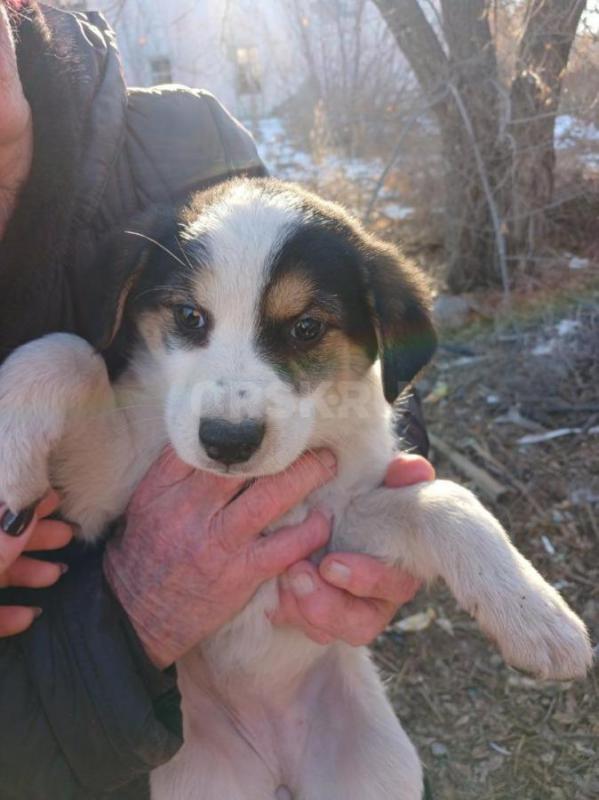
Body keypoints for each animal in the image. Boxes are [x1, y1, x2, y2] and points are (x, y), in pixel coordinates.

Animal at [0, 181, 592, 800]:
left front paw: (539, 619)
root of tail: (275, 766)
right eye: (189, 316)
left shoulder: (334, 532)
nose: (228, 441)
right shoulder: (97, 496)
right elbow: (67, 348)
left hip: (377, 770)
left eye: (306, 328)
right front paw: (10, 458)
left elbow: (446, 500)